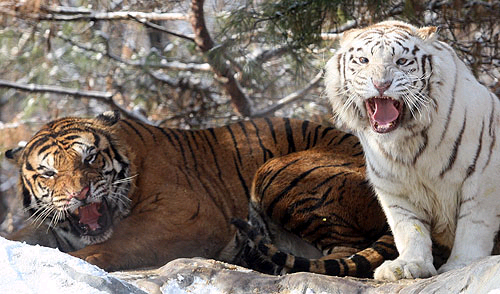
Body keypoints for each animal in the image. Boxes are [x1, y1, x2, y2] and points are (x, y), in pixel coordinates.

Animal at [324, 20, 500, 280]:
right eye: (364, 60)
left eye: (402, 61)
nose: (381, 84)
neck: (407, 142)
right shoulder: (393, 186)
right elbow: (408, 227)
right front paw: (408, 265)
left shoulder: (483, 175)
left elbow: (473, 225)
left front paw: (462, 265)